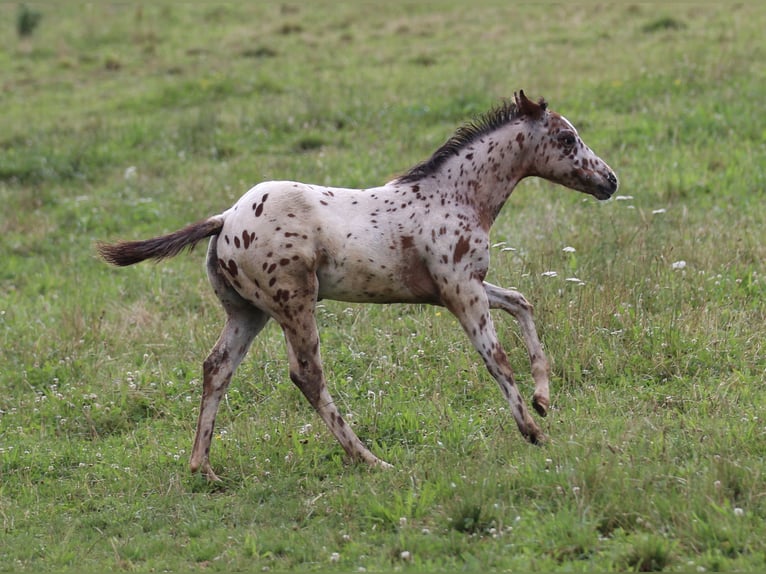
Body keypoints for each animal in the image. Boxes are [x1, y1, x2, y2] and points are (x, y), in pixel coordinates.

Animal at [99, 91, 620, 482]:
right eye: (567, 137)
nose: (611, 181)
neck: (455, 196)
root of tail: (225, 219)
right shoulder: (460, 292)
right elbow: (497, 360)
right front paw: (533, 431)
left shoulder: (465, 284)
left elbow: (522, 304)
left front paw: (544, 400)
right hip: (294, 305)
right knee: (307, 375)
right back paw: (370, 459)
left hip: (249, 312)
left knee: (217, 368)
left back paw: (203, 467)